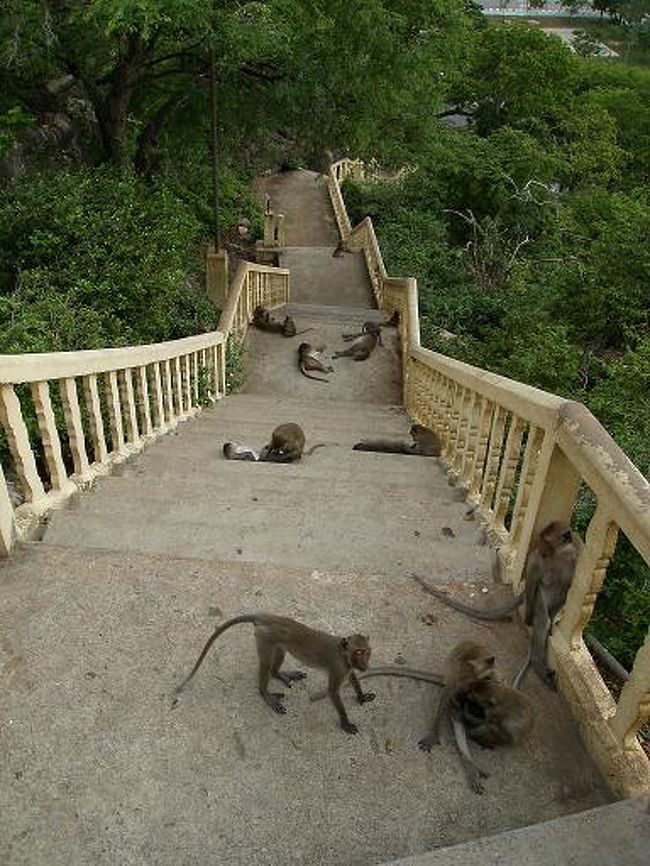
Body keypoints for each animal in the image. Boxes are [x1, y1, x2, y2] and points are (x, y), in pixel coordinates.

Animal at [174, 613, 374, 734]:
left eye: (366, 651)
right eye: (358, 652)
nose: (365, 664)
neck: (343, 654)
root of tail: (266, 616)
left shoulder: (346, 668)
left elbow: (353, 678)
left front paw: (361, 696)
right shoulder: (338, 667)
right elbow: (333, 692)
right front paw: (345, 722)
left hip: (275, 640)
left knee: (278, 656)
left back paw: (278, 674)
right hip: (263, 637)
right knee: (264, 665)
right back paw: (265, 693)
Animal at [411, 521, 581, 689]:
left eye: (547, 544)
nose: (542, 550)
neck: (562, 554)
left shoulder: (575, 553)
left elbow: (567, 587)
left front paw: (551, 619)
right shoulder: (540, 560)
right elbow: (533, 574)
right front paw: (529, 617)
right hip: (541, 594)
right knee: (541, 611)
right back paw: (538, 661)